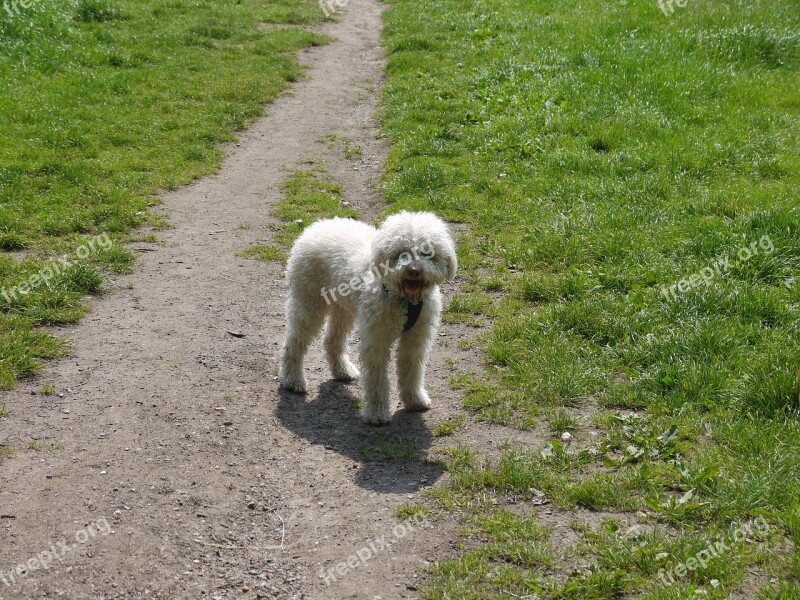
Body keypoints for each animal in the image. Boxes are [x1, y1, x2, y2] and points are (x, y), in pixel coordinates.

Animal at [280, 213, 456, 424]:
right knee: (294, 341)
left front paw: (415, 400)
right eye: (401, 253)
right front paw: (377, 413)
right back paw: (293, 380)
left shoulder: (416, 339)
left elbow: (412, 370)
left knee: (331, 340)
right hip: (308, 303)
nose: (413, 270)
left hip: (343, 310)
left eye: (426, 252)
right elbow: (376, 378)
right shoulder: (376, 339)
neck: (404, 301)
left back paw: (343, 371)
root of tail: (315, 226)